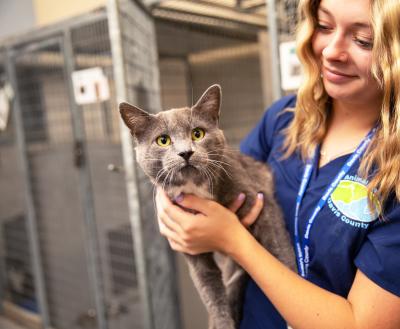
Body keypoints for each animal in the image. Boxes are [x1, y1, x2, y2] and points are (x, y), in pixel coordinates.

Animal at [119, 85, 294, 328]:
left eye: (197, 133)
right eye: (163, 140)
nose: (186, 152)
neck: (197, 188)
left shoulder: (261, 202)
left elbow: (280, 251)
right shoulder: (188, 242)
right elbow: (210, 290)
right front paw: (222, 322)